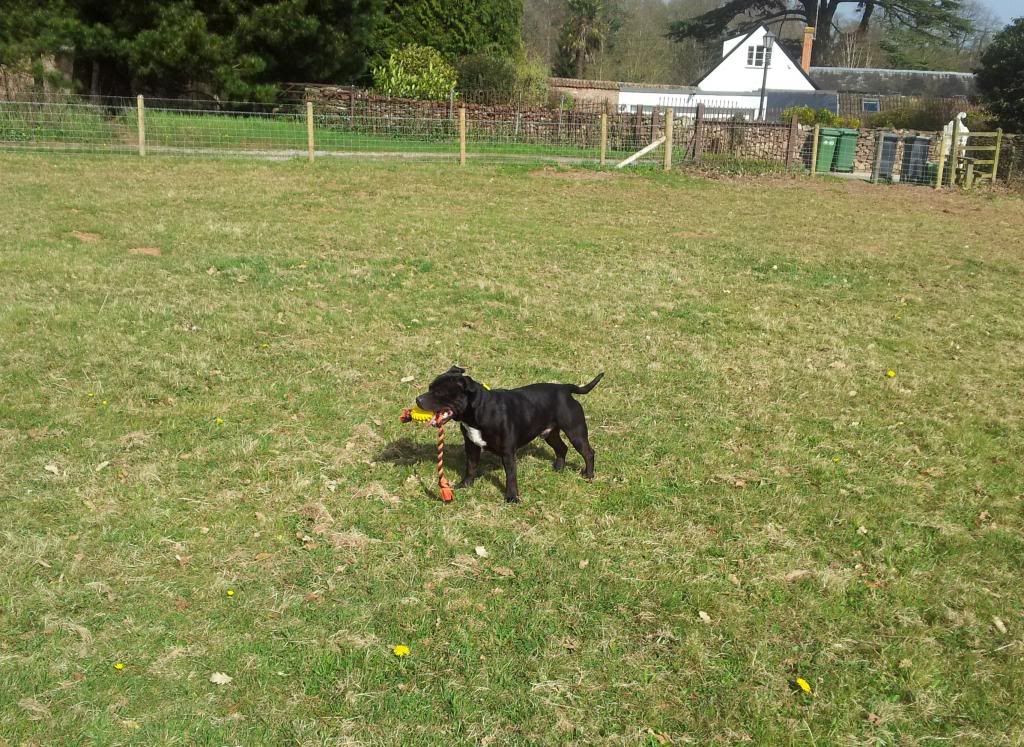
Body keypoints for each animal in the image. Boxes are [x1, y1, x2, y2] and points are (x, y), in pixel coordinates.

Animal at [415, 364, 602, 502]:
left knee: (588, 452)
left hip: (575, 432)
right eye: (429, 387)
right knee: (562, 447)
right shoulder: (472, 446)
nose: (418, 399)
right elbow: (471, 467)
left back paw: (589, 475)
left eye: (439, 392)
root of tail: (564, 388)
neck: (480, 410)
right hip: (549, 433)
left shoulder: (507, 453)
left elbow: (510, 476)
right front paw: (465, 484)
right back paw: (558, 467)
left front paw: (512, 497)